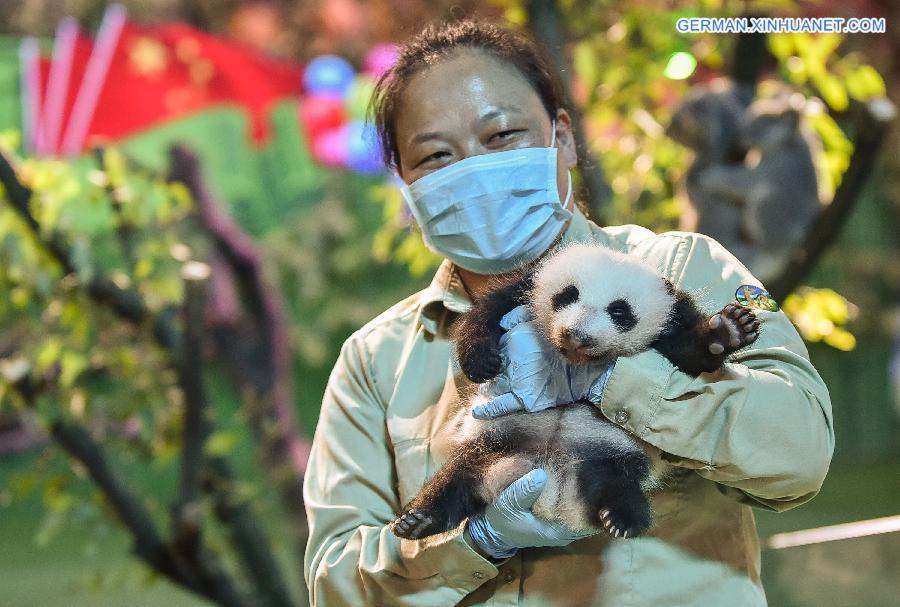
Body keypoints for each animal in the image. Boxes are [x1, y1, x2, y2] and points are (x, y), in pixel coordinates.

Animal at [392, 242, 760, 540]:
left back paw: (623, 519)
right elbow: (486, 313)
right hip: (496, 441)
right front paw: (482, 361)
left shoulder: (671, 317)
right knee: (457, 477)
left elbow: (692, 356)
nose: (576, 335)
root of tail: (553, 476)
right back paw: (418, 519)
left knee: (617, 482)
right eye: (568, 295)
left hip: (612, 453)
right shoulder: (525, 287)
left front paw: (728, 330)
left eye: (619, 311)